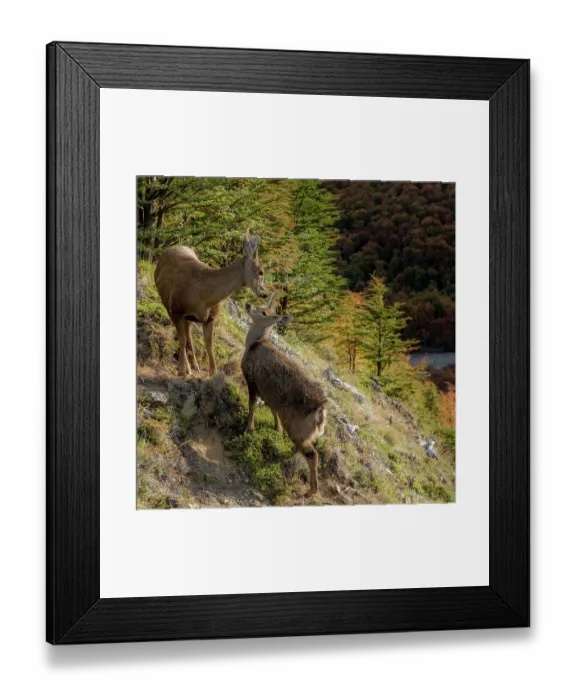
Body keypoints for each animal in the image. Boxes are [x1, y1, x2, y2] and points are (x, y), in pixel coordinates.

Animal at [154, 233, 266, 377]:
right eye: (261, 271)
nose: (264, 293)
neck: (203, 295)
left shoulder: (210, 318)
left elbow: (209, 344)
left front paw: (213, 372)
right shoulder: (176, 310)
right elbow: (182, 339)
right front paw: (181, 370)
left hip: (189, 317)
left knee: (188, 330)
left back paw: (194, 365)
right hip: (168, 304)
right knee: (185, 334)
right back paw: (188, 367)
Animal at [241, 293, 328, 497]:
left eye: (264, 312)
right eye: (261, 306)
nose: (248, 304)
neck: (254, 345)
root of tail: (320, 412)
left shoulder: (251, 378)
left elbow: (252, 405)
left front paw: (249, 428)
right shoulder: (270, 394)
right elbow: (272, 410)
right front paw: (276, 428)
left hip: (298, 427)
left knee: (313, 455)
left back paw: (310, 491)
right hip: (304, 432)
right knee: (305, 449)